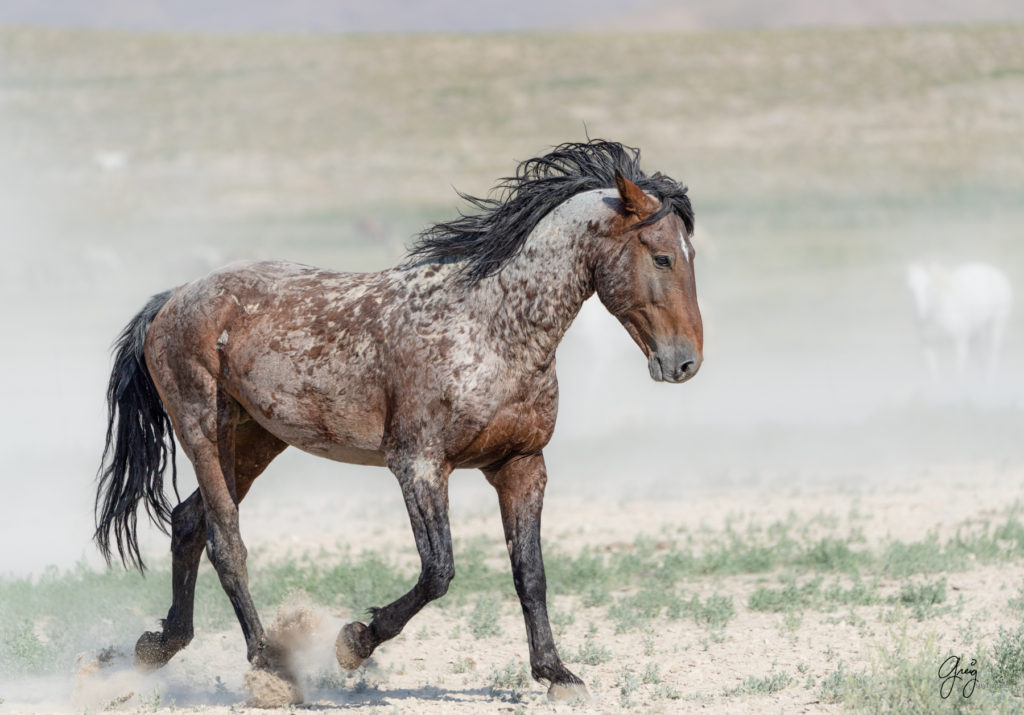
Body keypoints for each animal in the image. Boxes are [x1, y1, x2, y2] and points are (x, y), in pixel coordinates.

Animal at [94, 138, 704, 696]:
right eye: (662, 256)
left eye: (691, 256)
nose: (685, 361)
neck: (493, 329)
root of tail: (176, 297)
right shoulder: (419, 465)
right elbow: (438, 571)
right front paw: (355, 641)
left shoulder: (522, 464)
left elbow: (530, 574)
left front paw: (556, 673)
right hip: (201, 429)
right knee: (225, 540)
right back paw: (269, 663)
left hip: (252, 442)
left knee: (188, 524)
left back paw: (157, 647)